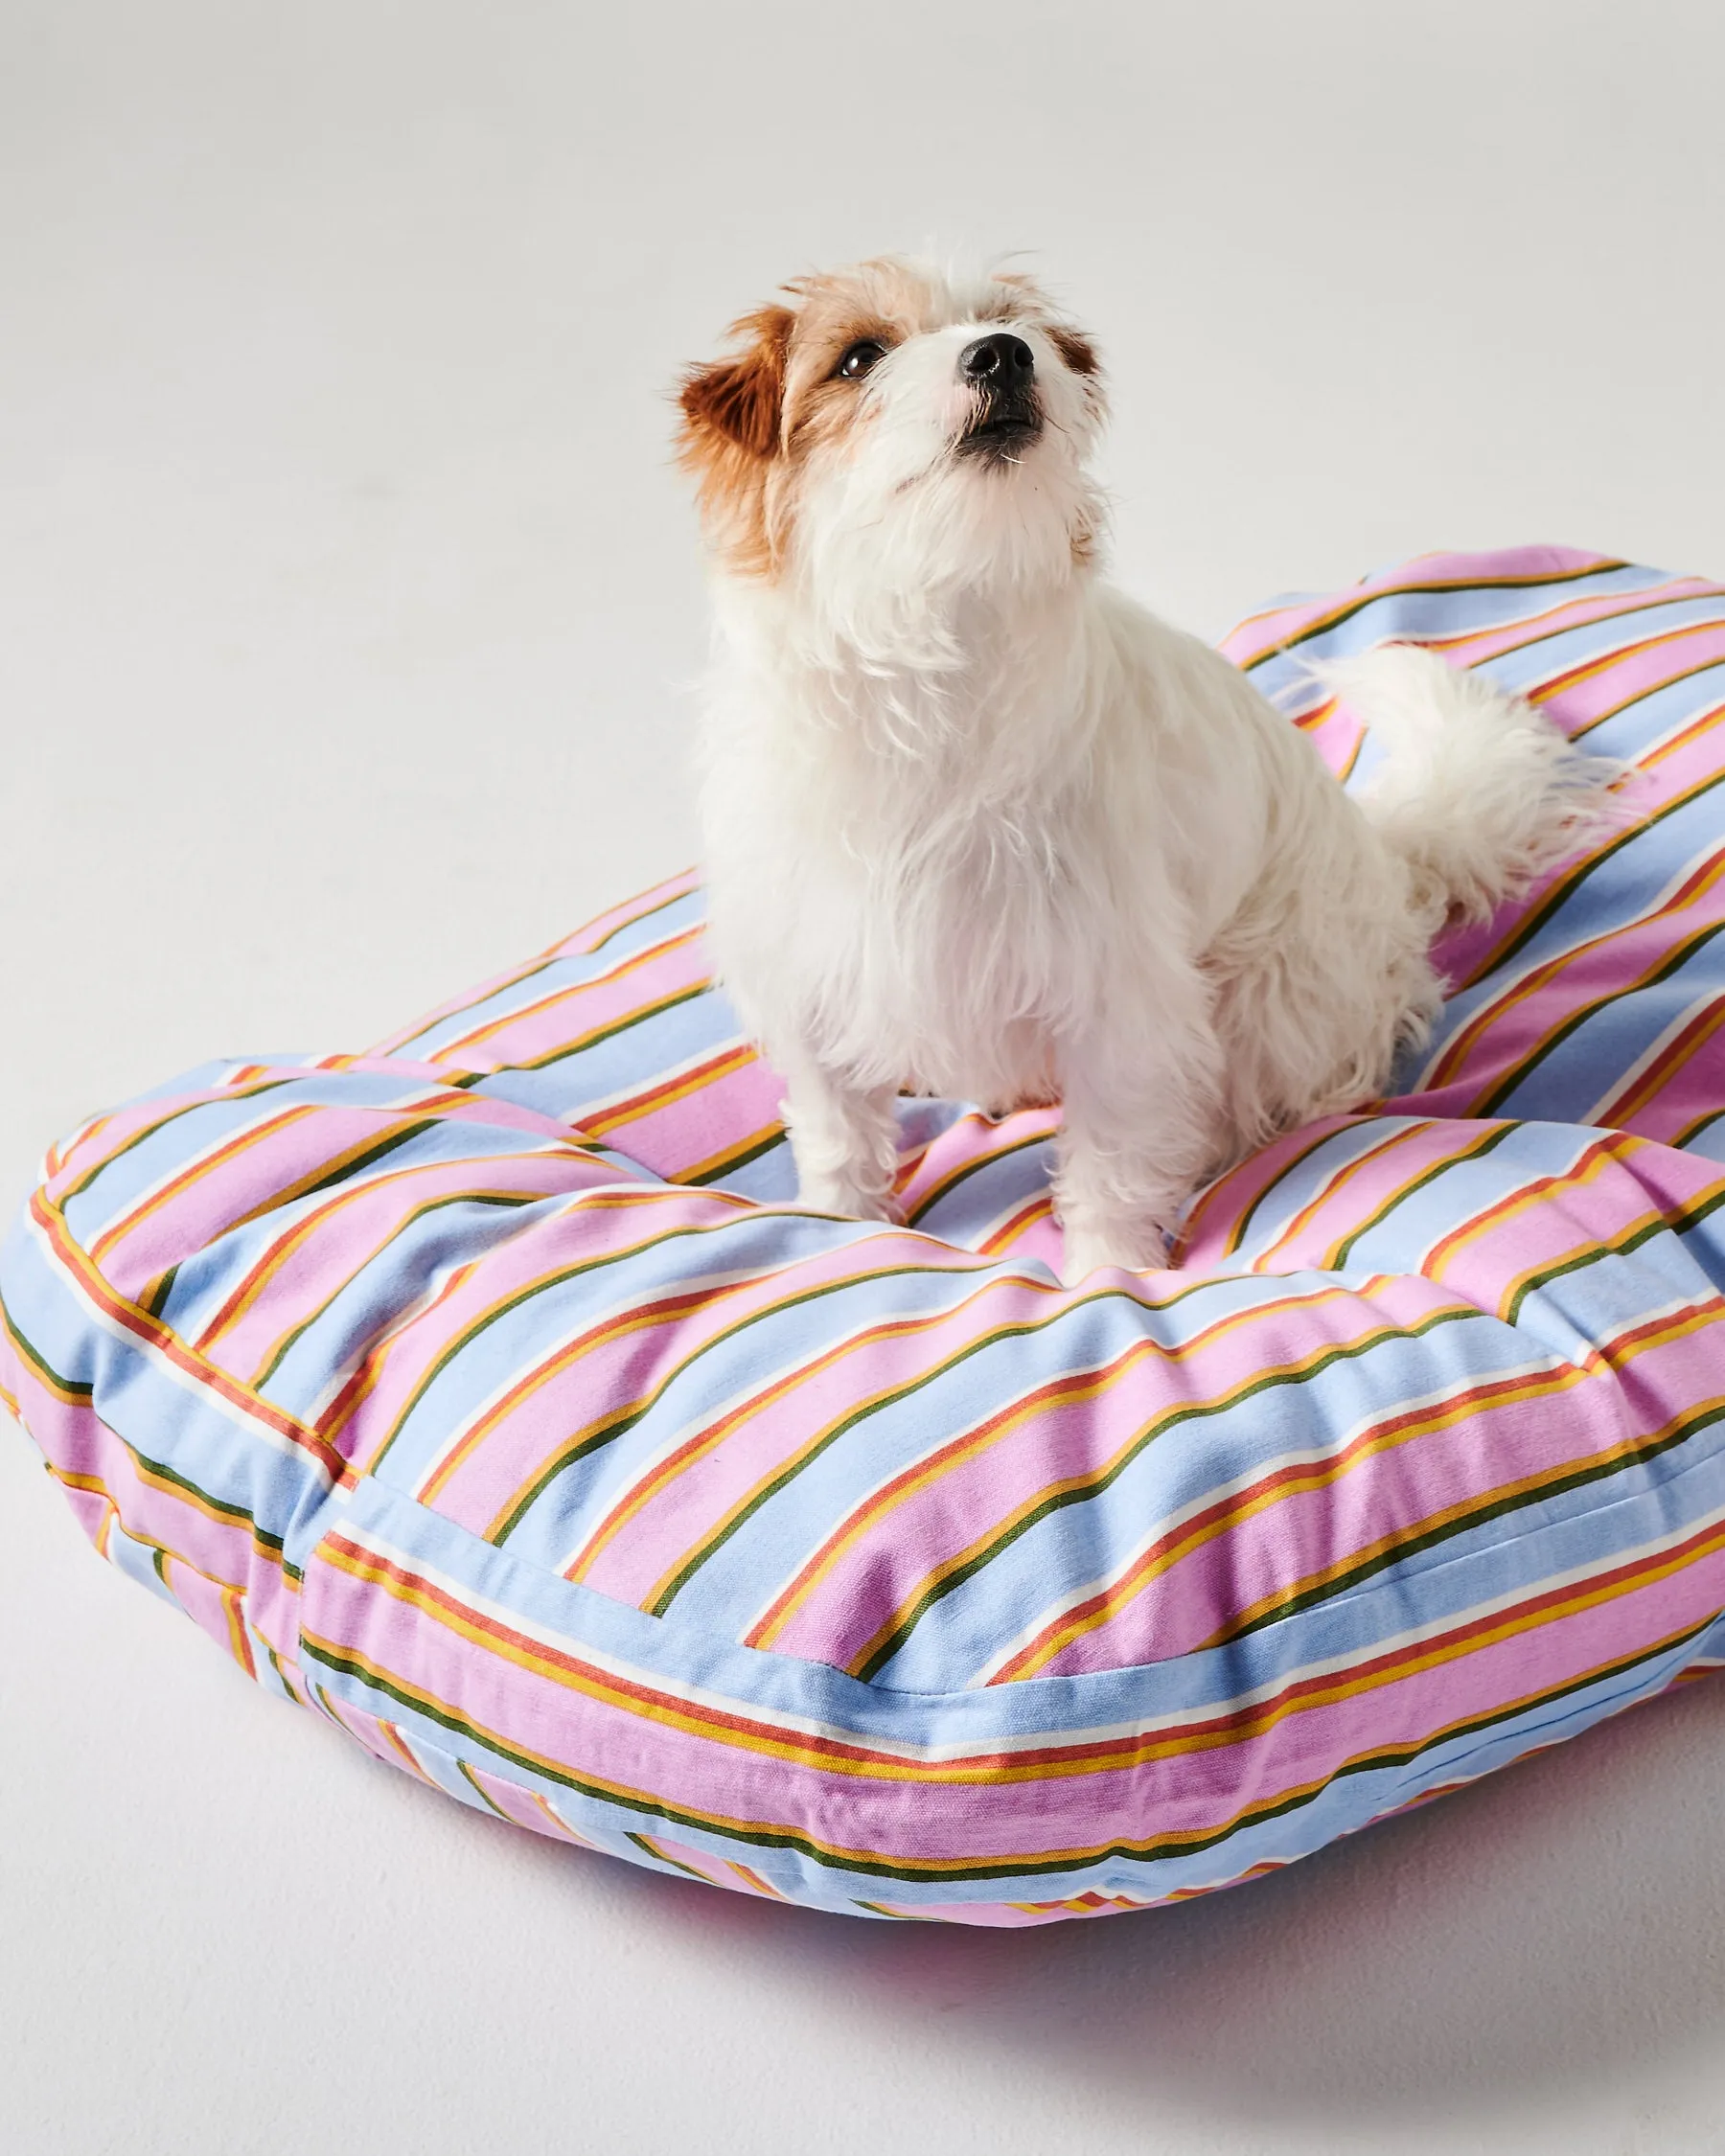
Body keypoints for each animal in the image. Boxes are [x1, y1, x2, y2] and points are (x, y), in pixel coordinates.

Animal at [677, 263, 1622, 1285]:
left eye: (1008, 321)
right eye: (858, 358)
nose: (1003, 353)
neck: (937, 640)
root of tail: (1385, 860)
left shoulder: (1119, 997)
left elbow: (1113, 1163)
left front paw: (1109, 1274)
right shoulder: (807, 964)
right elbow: (836, 1130)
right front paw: (836, 1230)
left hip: (1264, 1006)